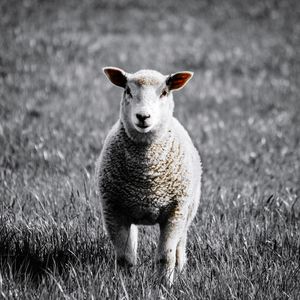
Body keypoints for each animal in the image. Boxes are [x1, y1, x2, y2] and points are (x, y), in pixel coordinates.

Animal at [96, 66, 202, 284]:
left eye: (164, 92)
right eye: (128, 90)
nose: (143, 117)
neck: (147, 178)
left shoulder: (175, 212)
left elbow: (165, 256)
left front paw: (164, 284)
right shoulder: (113, 210)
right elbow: (125, 257)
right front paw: (125, 283)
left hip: (189, 209)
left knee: (180, 244)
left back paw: (180, 268)